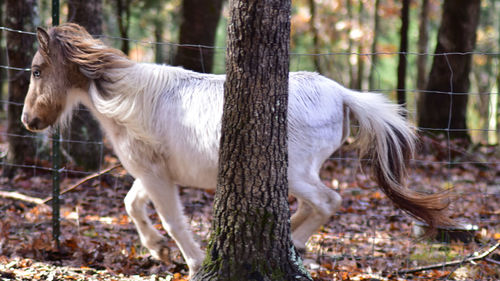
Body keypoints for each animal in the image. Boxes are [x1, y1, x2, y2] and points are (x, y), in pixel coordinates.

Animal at [20, 23, 454, 276]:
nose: (28, 121)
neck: (126, 97)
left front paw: (194, 262)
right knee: (311, 207)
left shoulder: (155, 175)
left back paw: (295, 246)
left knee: (328, 201)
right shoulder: (152, 172)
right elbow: (133, 205)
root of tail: (342, 94)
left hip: (295, 173)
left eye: (37, 70)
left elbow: (172, 220)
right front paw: (157, 250)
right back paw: (292, 244)